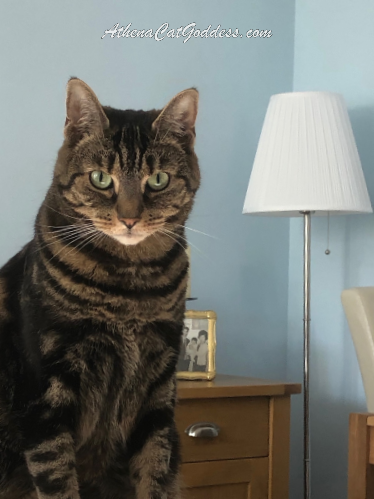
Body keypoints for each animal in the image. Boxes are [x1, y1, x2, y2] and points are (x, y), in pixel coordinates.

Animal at [0, 78, 200, 499]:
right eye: (100, 179)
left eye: (158, 180)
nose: (129, 218)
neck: (128, 288)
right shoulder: (46, 392)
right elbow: (57, 477)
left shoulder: (159, 386)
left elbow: (154, 469)